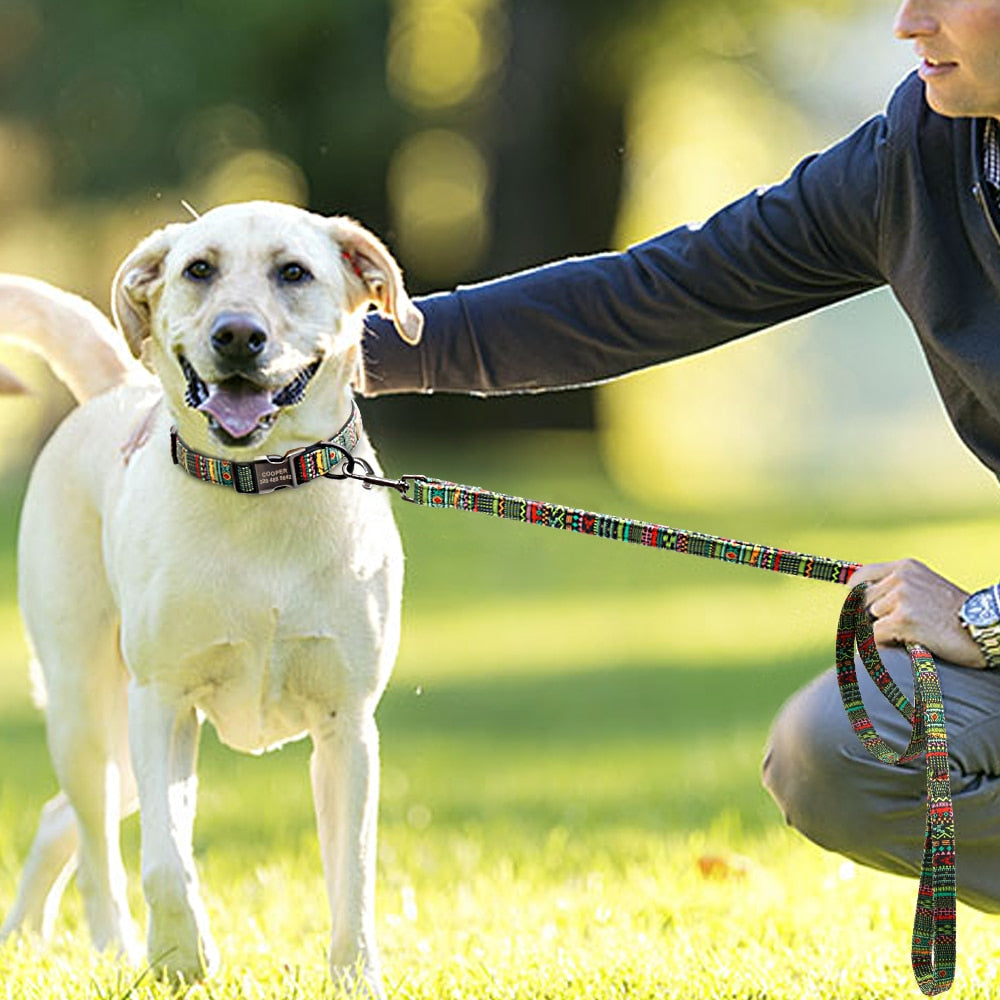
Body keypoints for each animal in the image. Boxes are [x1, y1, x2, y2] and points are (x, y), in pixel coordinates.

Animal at [0, 199, 422, 996]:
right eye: (199, 269)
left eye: (294, 272)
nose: (236, 334)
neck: (261, 484)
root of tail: (116, 387)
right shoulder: (163, 702)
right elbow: (166, 863)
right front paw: (179, 957)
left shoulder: (348, 727)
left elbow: (352, 875)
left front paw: (355, 976)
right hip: (90, 710)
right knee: (100, 847)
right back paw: (113, 949)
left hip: (115, 742)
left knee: (58, 816)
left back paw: (23, 937)